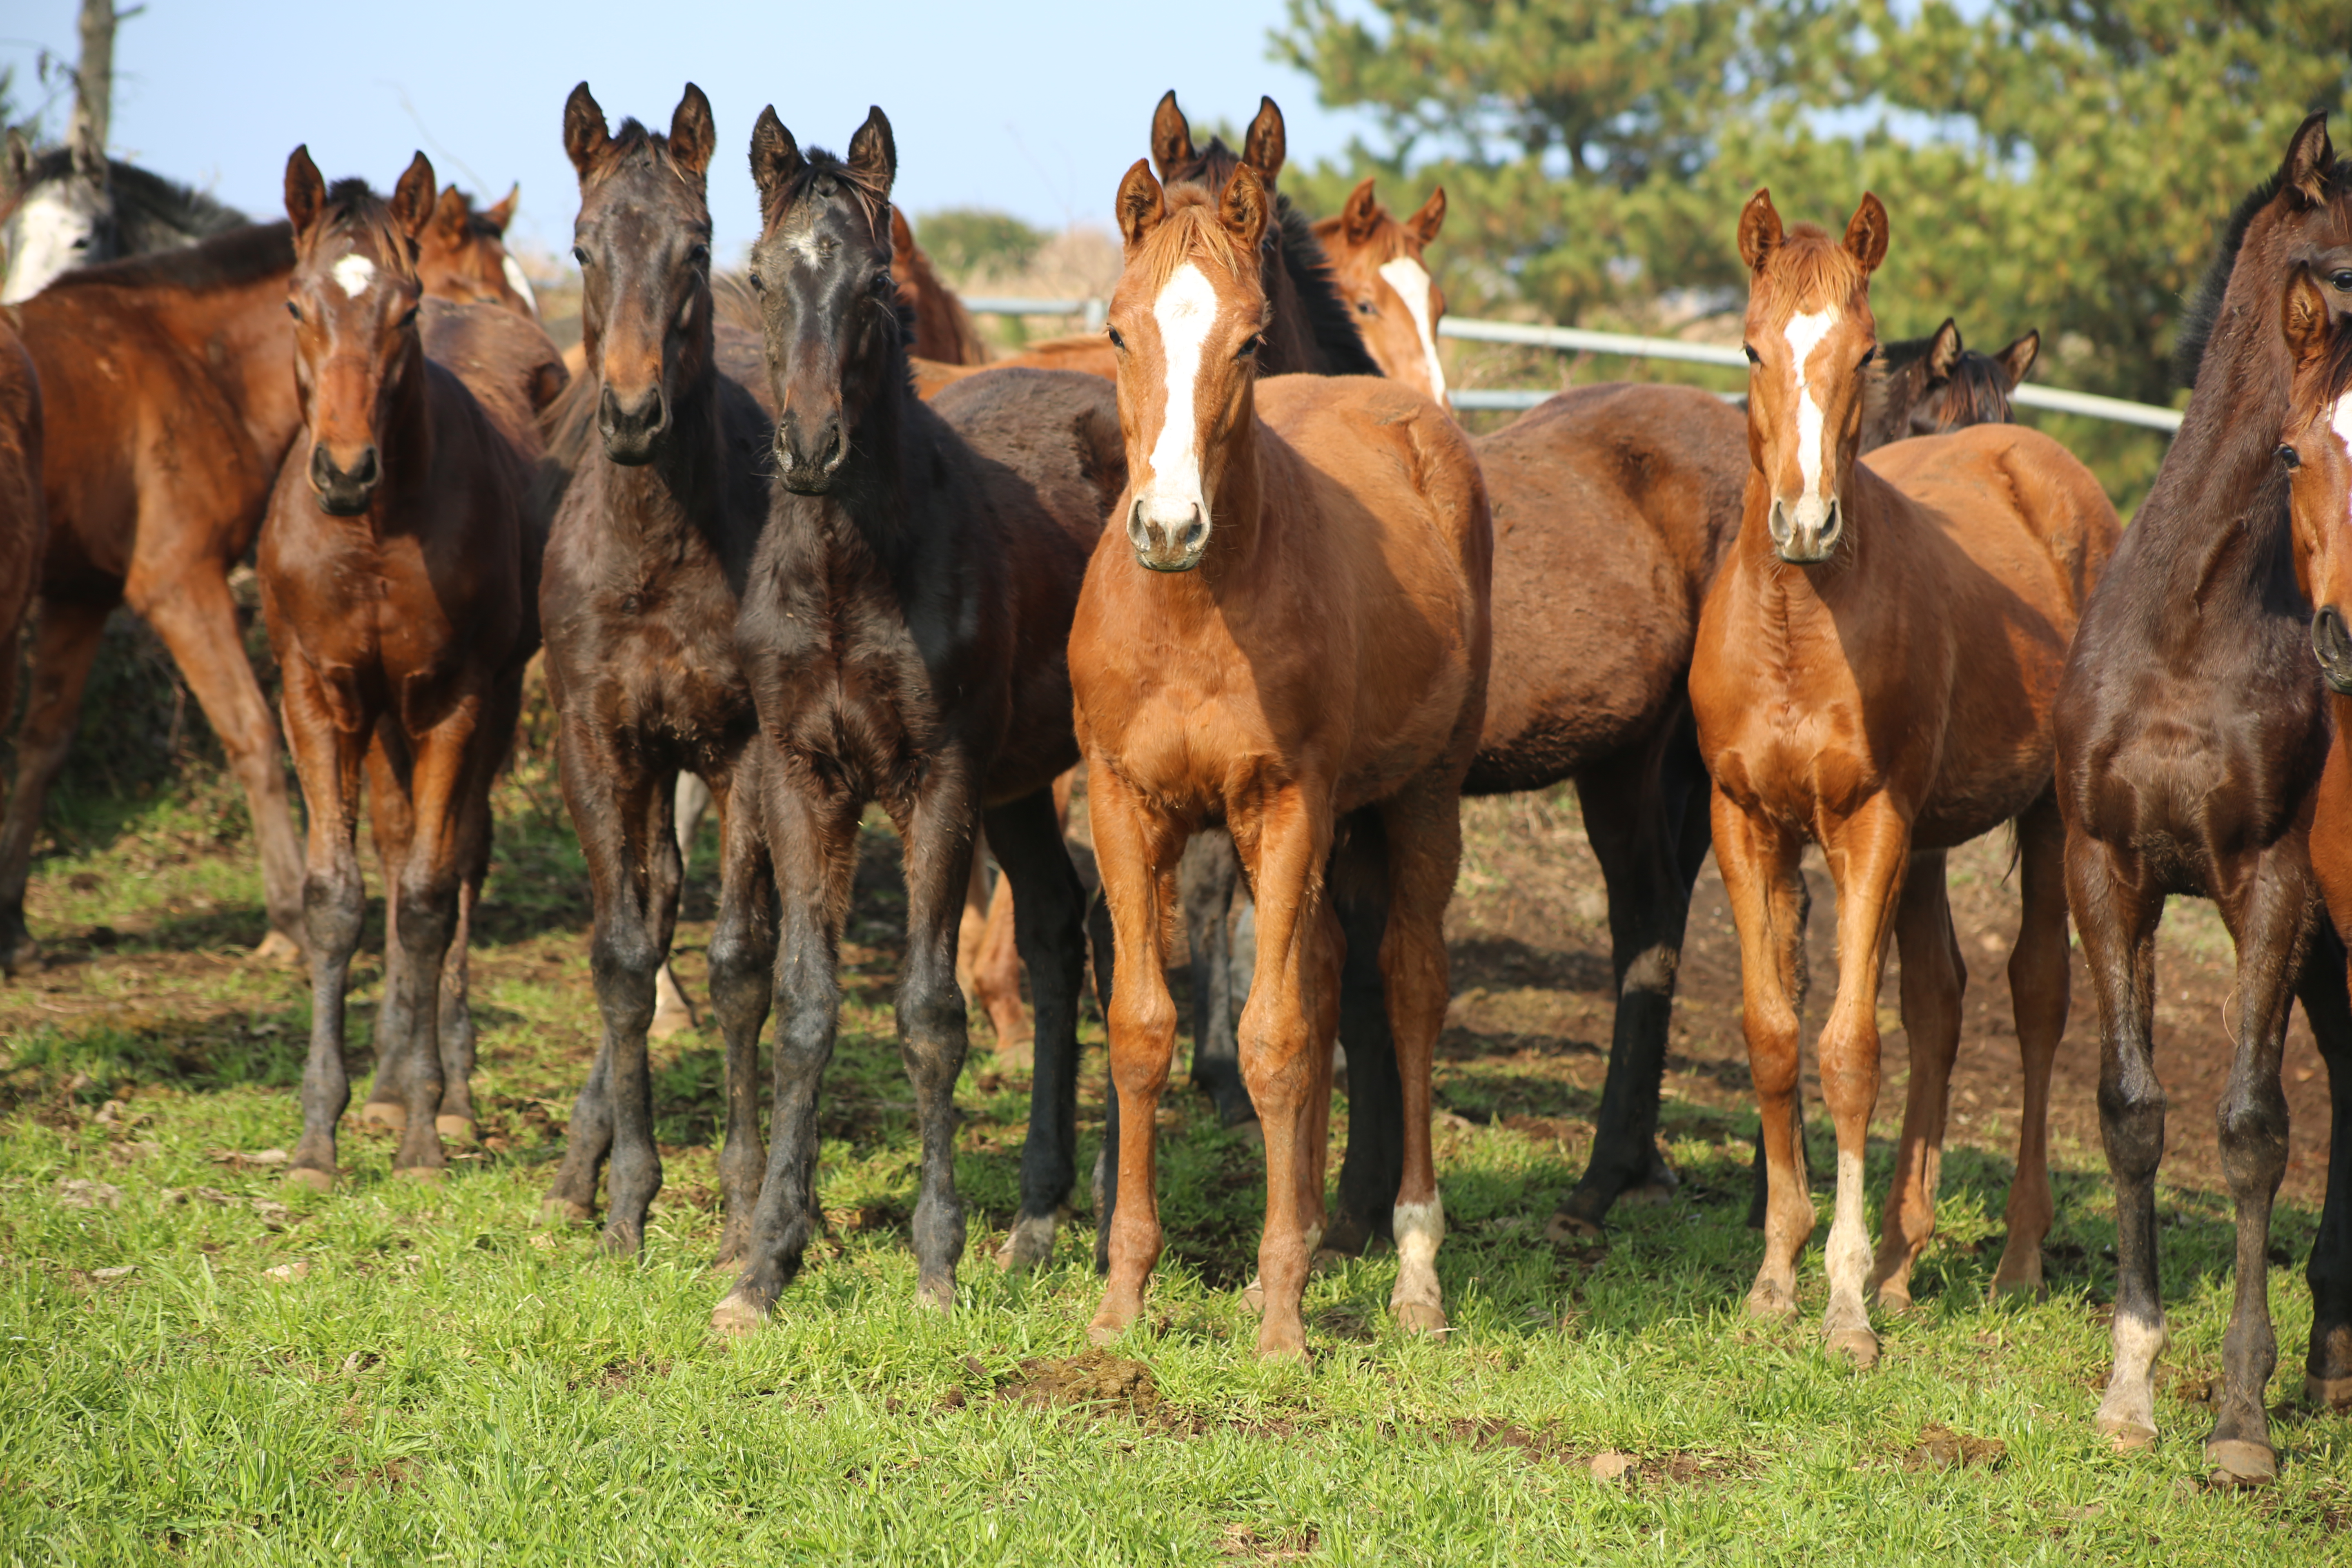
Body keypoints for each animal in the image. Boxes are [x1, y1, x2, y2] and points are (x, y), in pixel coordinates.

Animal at [2, 190, 541, 973]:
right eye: (481, 292)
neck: (188, 363)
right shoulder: (180, 585)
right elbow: (254, 734)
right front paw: (288, 915)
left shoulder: (82, 595)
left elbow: (44, 743)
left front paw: (12, 919)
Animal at [265, 150, 548, 1189]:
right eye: (298, 303)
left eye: (406, 308)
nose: (345, 470)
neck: (375, 534)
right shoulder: (316, 693)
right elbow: (337, 898)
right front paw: (319, 1136)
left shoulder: (453, 698)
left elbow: (430, 895)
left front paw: (426, 1131)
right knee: (392, 844)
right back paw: (386, 1081)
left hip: (486, 699)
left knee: (461, 857)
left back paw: (445, 1089)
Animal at [1072, 162, 1486, 1363]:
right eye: (1116, 330)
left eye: (1250, 339)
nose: (1167, 525)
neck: (1188, 614)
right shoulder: (1124, 808)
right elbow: (1143, 1032)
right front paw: (1121, 1305)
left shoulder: (1286, 805)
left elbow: (1273, 1040)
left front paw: (1281, 1326)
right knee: (1323, 970)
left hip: (1419, 799)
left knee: (1405, 984)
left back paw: (1412, 1271)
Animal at [1703, 193, 2126, 1373]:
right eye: (1748, 348)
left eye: (1857, 352)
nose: (1805, 523)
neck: (1794, 628)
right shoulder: (1745, 822)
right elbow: (1773, 1035)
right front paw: (1775, 1280)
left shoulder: (1872, 825)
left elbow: (1850, 1051)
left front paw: (1843, 1305)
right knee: (1940, 998)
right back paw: (1904, 1262)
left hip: (2047, 818)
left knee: (2036, 996)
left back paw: (2013, 1257)